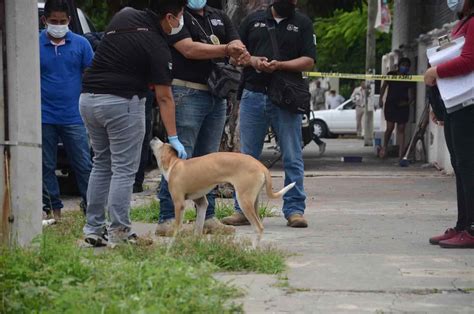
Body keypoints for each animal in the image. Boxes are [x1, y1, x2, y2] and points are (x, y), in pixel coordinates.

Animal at [150, 136, 294, 242]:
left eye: (163, 144)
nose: (155, 137)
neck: (174, 164)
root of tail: (261, 166)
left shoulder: (179, 204)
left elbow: (177, 228)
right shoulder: (201, 202)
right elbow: (198, 227)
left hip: (244, 201)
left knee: (258, 228)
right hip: (254, 201)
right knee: (259, 227)